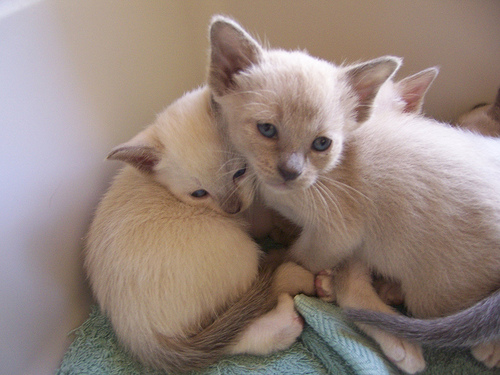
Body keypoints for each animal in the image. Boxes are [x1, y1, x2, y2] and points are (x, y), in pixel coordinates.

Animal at [84, 85, 314, 374]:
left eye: (240, 172)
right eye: (199, 194)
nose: (232, 209)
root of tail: (139, 336)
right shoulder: (250, 219)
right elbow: (264, 218)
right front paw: (283, 226)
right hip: (241, 252)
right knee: (240, 320)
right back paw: (291, 292)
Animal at [206, 15, 500, 374]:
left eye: (321, 143)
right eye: (267, 129)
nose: (290, 171)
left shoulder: (339, 234)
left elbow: (299, 256)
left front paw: (274, 266)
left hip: (432, 294)